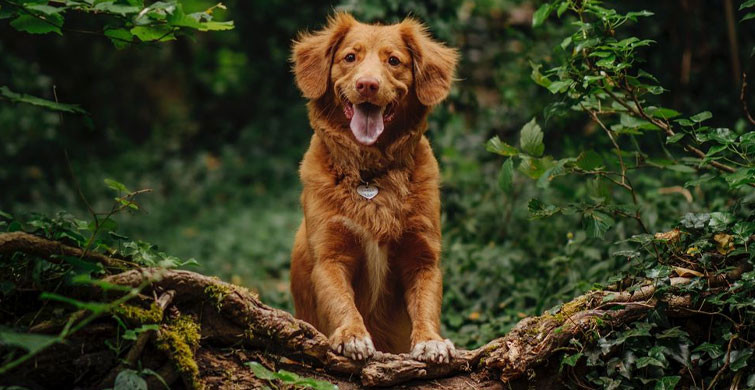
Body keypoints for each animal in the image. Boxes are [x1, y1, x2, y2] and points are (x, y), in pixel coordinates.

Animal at [290, 13, 458, 364]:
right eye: (350, 57)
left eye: (393, 61)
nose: (367, 84)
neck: (370, 175)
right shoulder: (330, 256)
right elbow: (341, 300)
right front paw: (352, 335)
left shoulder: (423, 257)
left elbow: (426, 305)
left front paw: (430, 341)